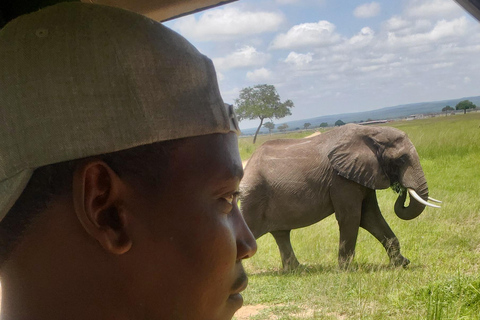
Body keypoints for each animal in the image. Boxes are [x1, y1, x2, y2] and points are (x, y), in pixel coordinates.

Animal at [240, 123, 442, 270]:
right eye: (401, 160)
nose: (401, 188)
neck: (371, 131)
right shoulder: (341, 180)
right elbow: (352, 217)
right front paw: (346, 270)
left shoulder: (361, 175)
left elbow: (370, 217)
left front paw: (402, 264)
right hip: (253, 197)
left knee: (281, 234)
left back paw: (297, 270)